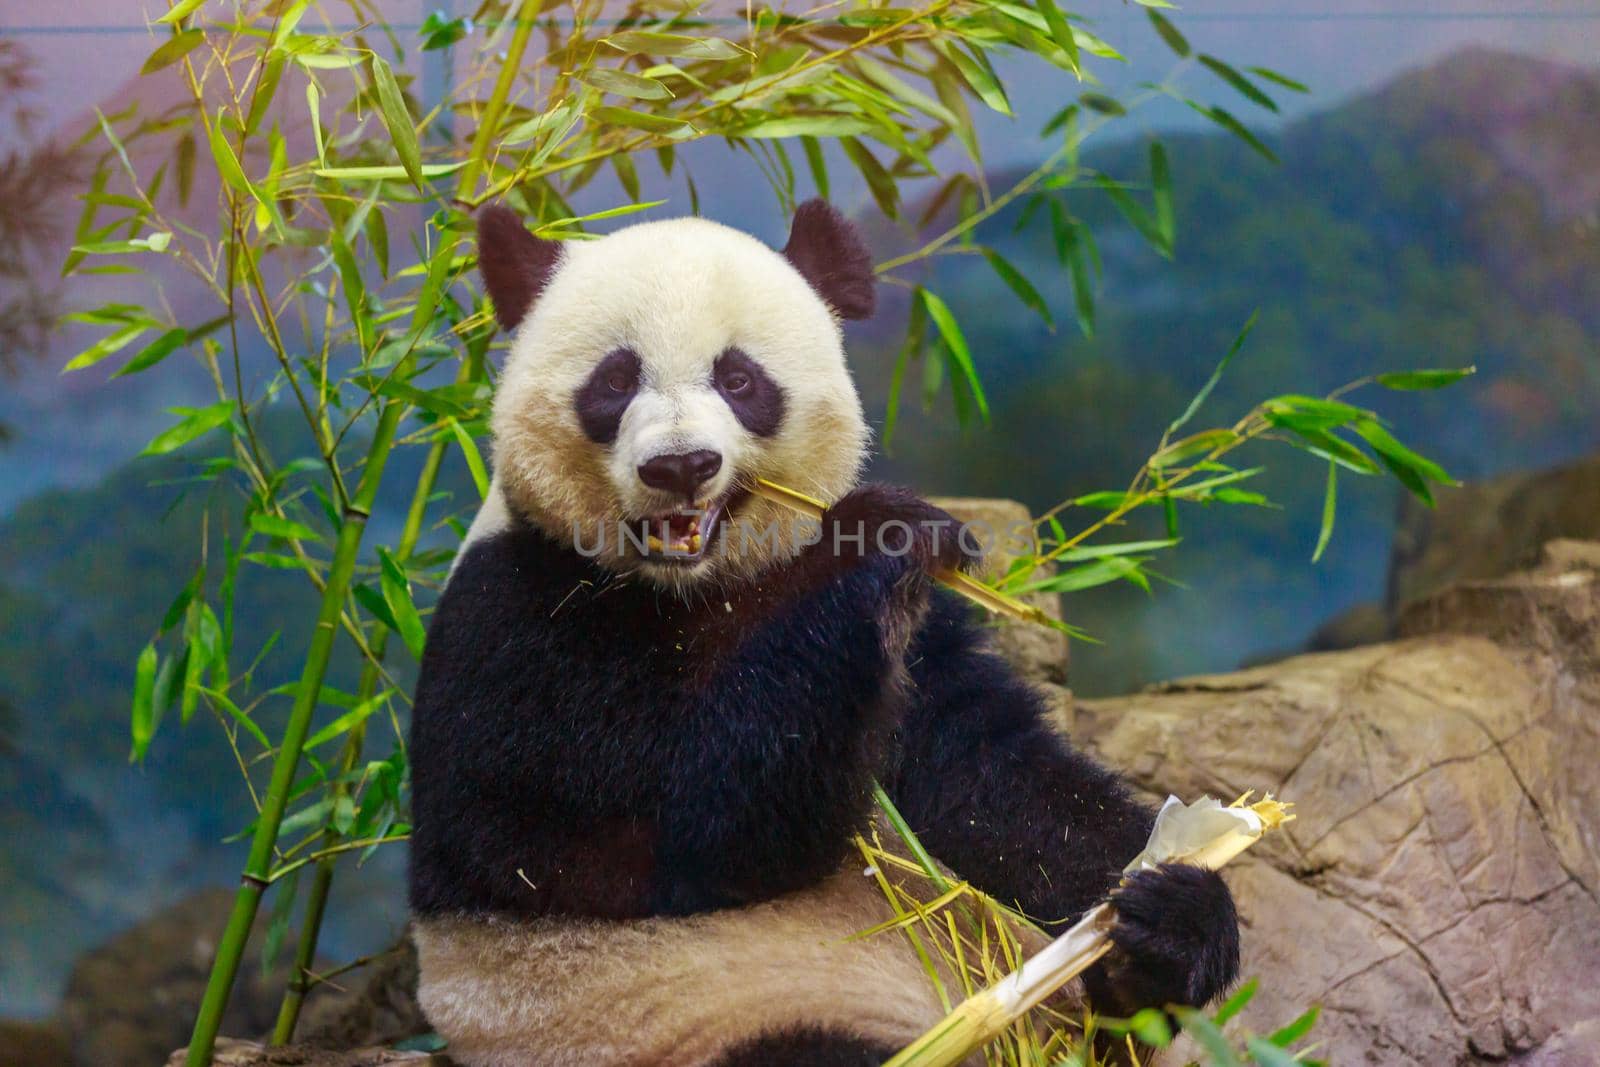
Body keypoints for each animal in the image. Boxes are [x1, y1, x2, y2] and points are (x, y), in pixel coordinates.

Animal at [409, 202, 1235, 1067]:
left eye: (739, 380)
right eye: (615, 380)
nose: (681, 466)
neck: (693, 587)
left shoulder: (906, 642)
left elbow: (989, 776)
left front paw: (1178, 904)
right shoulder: (518, 620)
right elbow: (670, 832)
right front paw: (882, 532)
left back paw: (1133, 980)